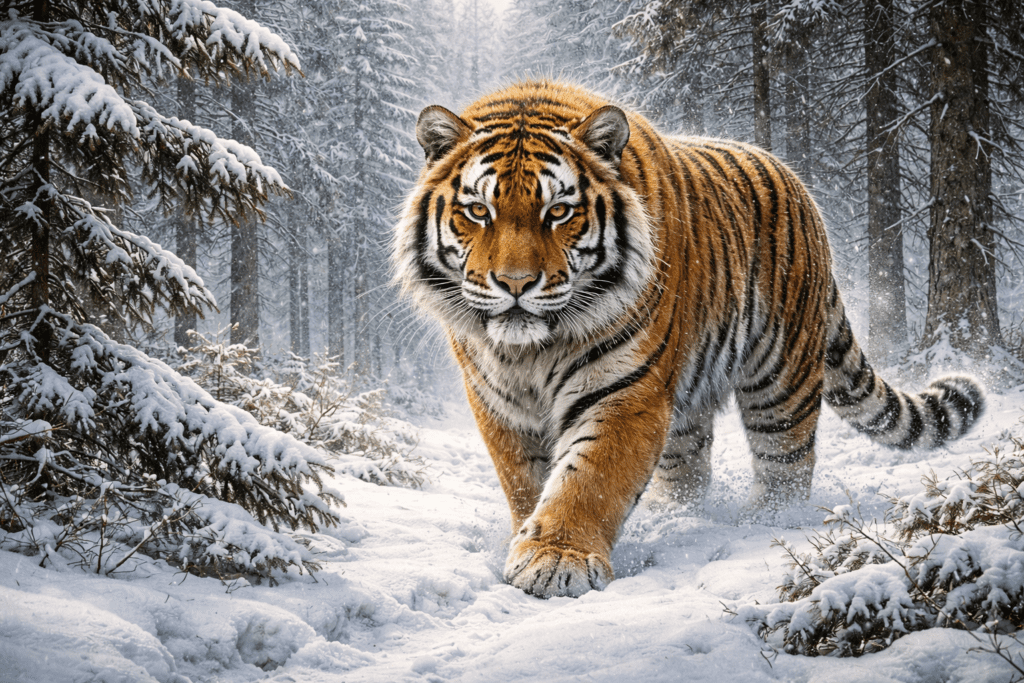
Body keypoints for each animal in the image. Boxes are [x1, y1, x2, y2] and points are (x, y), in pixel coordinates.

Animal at [392, 80, 985, 599]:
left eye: (558, 211)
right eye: (478, 210)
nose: (515, 284)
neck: (530, 351)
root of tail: (797, 184)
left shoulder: (625, 392)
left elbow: (589, 480)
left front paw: (555, 559)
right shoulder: (499, 402)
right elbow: (526, 482)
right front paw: (529, 537)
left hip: (780, 382)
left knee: (786, 463)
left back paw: (768, 522)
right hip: (686, 407)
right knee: (687, 468)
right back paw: (676, 517)